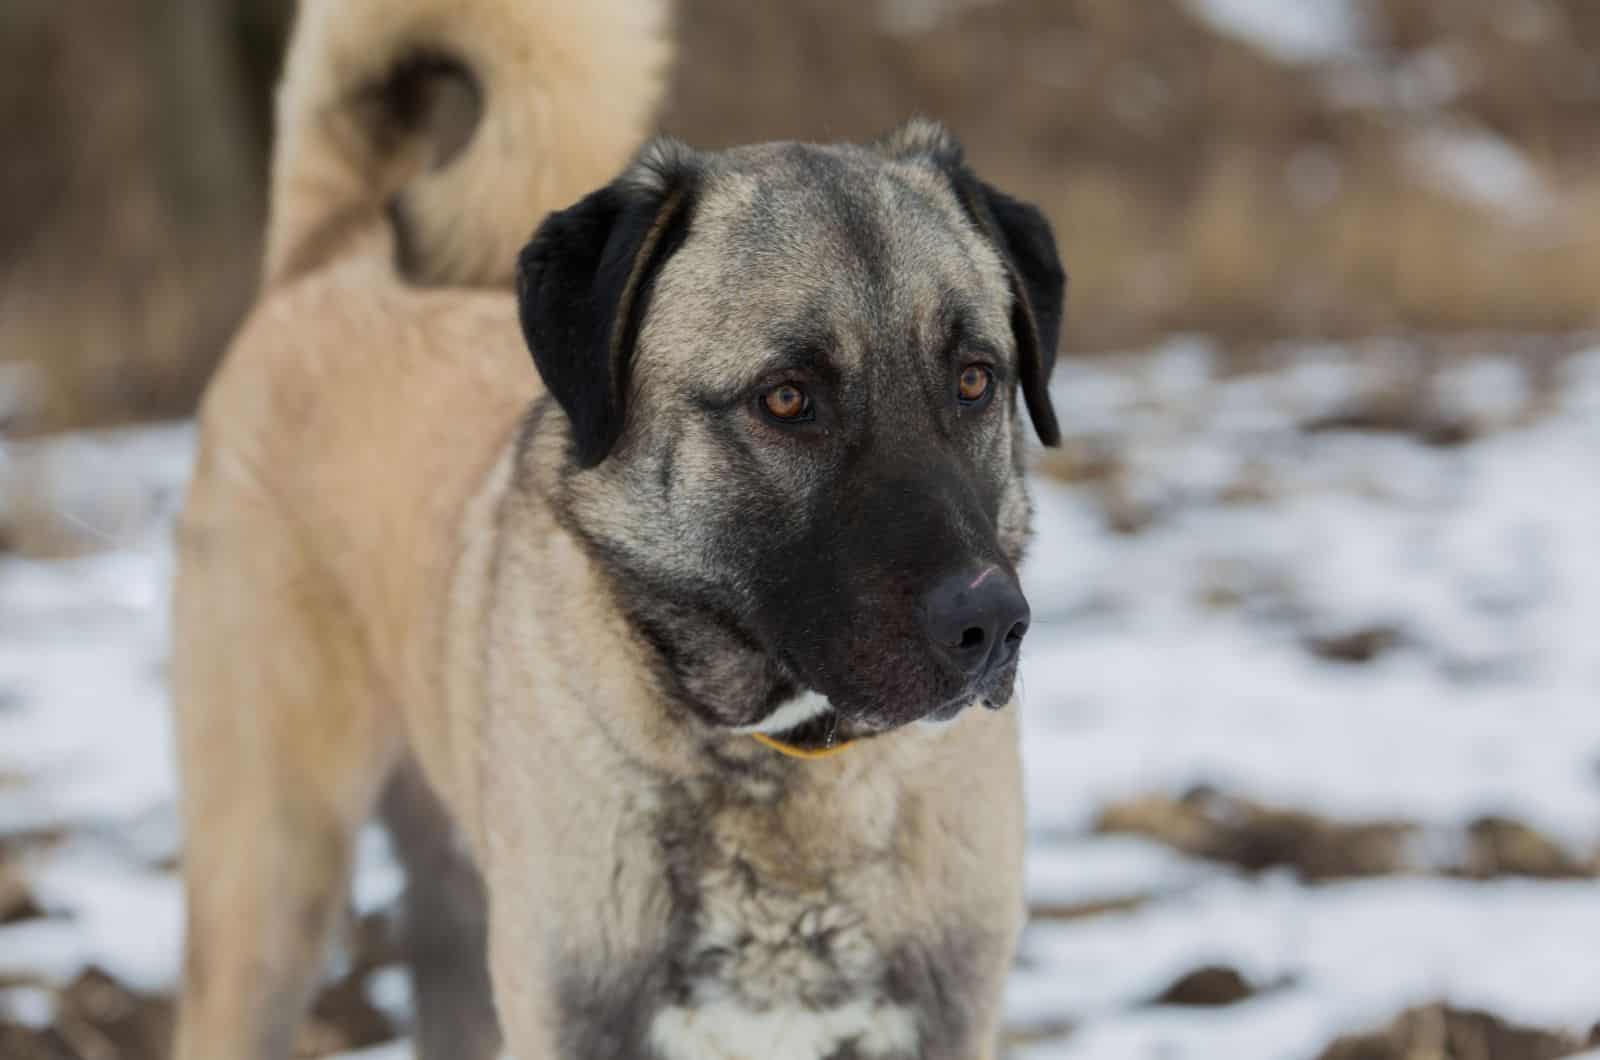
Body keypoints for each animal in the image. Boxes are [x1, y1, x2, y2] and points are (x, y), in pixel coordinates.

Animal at [168, 0, 1068, 1056]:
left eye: (974, 378)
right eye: (787, 398)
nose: (989, 626)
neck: (780, 763)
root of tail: (329, 264)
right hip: (271, 895)